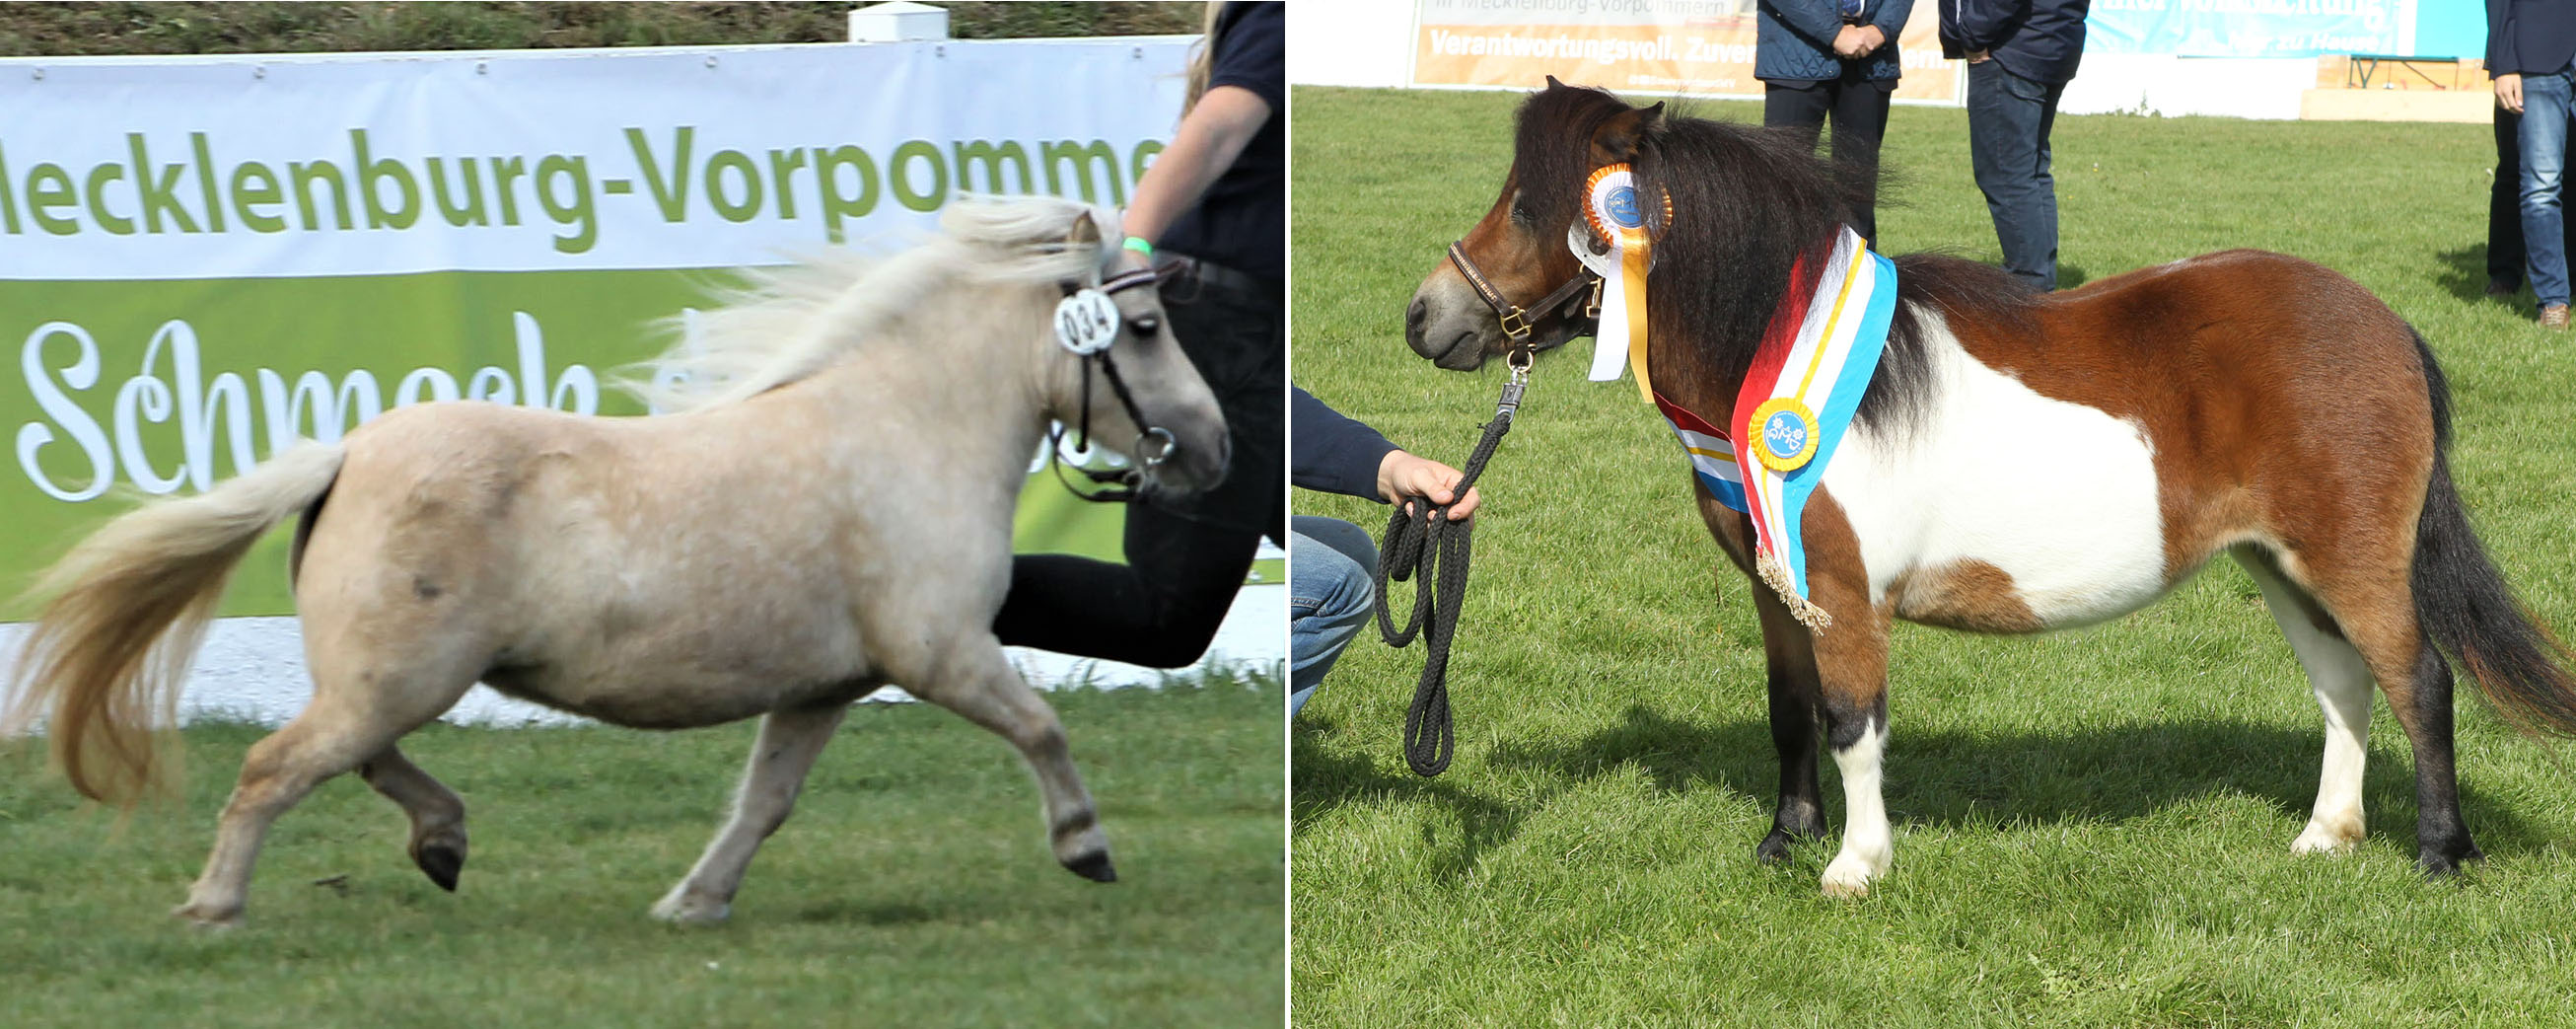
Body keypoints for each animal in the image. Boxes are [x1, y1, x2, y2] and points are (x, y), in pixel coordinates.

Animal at [2, 193, 1226, 928]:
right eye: (1146, 328)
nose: (1212, 450)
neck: (905, 430)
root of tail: (348, 451)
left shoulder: (827, 684)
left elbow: (764, 800)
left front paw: (694, 900)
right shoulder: (941, 652)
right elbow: (1041, 725)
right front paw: (1084, 845)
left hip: (386, 679)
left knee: (357, 759)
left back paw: (443, 841)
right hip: (396, 677)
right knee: (275, 767)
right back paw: (216, 904)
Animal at [1411, 80, 2576, 897]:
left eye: (1534, 206)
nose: (1427, 317)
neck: (1780, 354)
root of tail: (2383, 322)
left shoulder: (1845, 594)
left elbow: (1852, 721)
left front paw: (1855, 863)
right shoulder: (1776, 589)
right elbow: (1791, 714)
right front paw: (1783, 840)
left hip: (2351, 557)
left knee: (2417, 680)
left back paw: (2440, 851)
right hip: (2279, 561)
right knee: (2342, 686)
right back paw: (2326, 835)